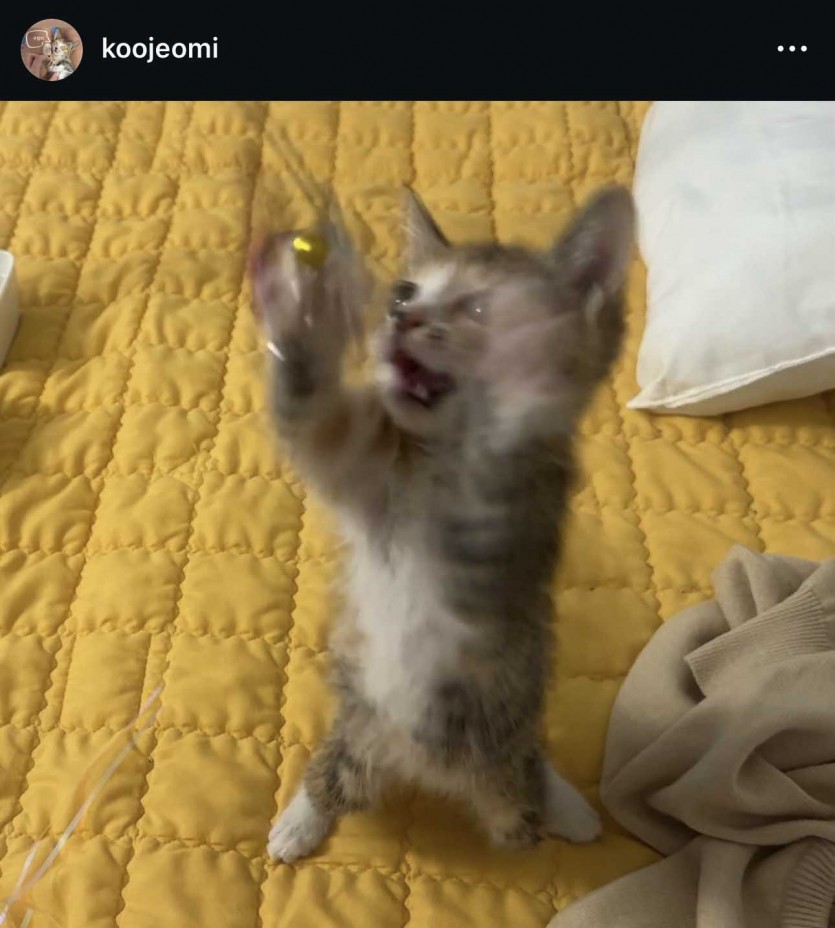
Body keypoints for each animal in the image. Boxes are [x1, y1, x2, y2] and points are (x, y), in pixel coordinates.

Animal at [250, 185, 635, 862]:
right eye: (406, 292)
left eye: (479, 307)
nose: (398, 316)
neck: (440, 458)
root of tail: (425, 771)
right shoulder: (359, 462)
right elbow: (312, 417)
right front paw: (303, 308)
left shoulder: (509, 533)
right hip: (361, 734)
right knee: (332, 777)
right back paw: (299, 822)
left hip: (505, 752)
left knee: (527, 770)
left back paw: (561, 805)